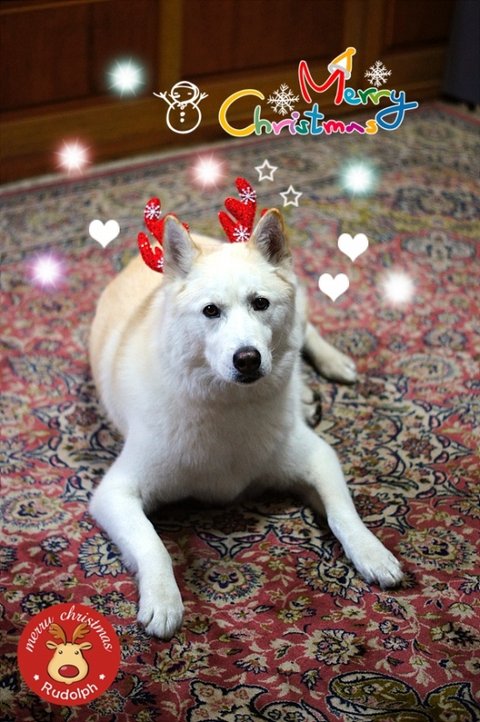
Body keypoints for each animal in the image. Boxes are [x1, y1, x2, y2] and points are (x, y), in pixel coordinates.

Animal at [89, 208, 403, 639]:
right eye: (210, 311)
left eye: (260, 303)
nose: (248, 359)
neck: (229, 405)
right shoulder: (115, 493)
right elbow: (153, 543)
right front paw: (163, 598)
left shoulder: (318, 456)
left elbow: (343, 514)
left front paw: (371, 552)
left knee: (306, 332)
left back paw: (328, 368)